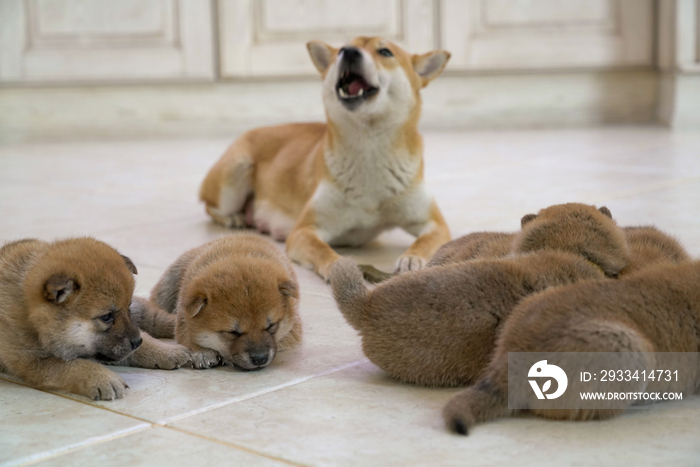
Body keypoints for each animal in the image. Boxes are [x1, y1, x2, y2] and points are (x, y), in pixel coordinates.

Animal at [0, 239, 191, 400]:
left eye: (127, 307)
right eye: (106, 317)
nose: (137, 342)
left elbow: (146, 340)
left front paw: (166, 351)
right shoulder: (32, 362)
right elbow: (72, 365)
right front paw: (102, 378)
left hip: (143, 311)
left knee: (159, 319)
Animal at [149, 236, 302, 372]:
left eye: (271, 326)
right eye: (232, 332)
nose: (260, 359)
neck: (237, 253)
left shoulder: (293, 329)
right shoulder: (183, 321)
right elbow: (189, 338)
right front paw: (203, 353)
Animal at [200, 36, 452, 282]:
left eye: (385, 52)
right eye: (342, 48)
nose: (349, 52)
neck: (369, 149)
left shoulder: (435, 224)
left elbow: (424, 242)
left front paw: (412, 258)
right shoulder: (304, 230)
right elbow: (323, 250)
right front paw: (338, 265)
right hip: (236, 172)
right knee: (210, 207)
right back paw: (234, 217)